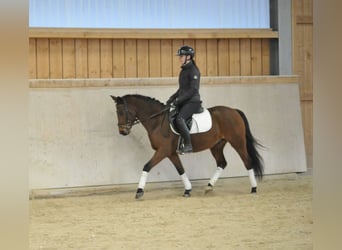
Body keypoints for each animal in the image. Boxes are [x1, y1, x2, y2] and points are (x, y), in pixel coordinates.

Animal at [109, 94, 264, 199]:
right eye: (116, 112)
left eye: (122, 112)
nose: (122, 131)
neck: (158, 122)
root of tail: (234, 110)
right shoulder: (171, 153)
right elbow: (181, 170)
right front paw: (188, 190)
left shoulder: (163, 151)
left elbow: (147, 166)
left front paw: (139, 191)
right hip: (216, 146)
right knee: (222, 163)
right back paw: (209, 187)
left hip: (237, 142)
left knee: (247, 162)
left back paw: (254, 188)